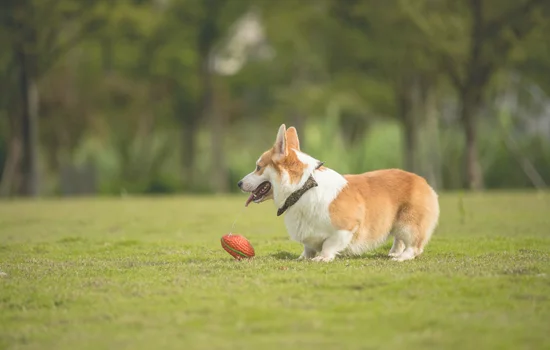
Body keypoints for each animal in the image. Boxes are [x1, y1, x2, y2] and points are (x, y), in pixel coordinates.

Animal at [239, 124, 442, 262]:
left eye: (258, 167)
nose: (239, 183)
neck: (303, 188)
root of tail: (422, 181)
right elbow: (308, 247)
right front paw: (303, 257)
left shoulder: (347, 227)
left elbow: (329, 244)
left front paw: (323, 257)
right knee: (399, 240)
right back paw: (394, 253)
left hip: (409, 223)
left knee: (414, 245)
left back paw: (401, 257)